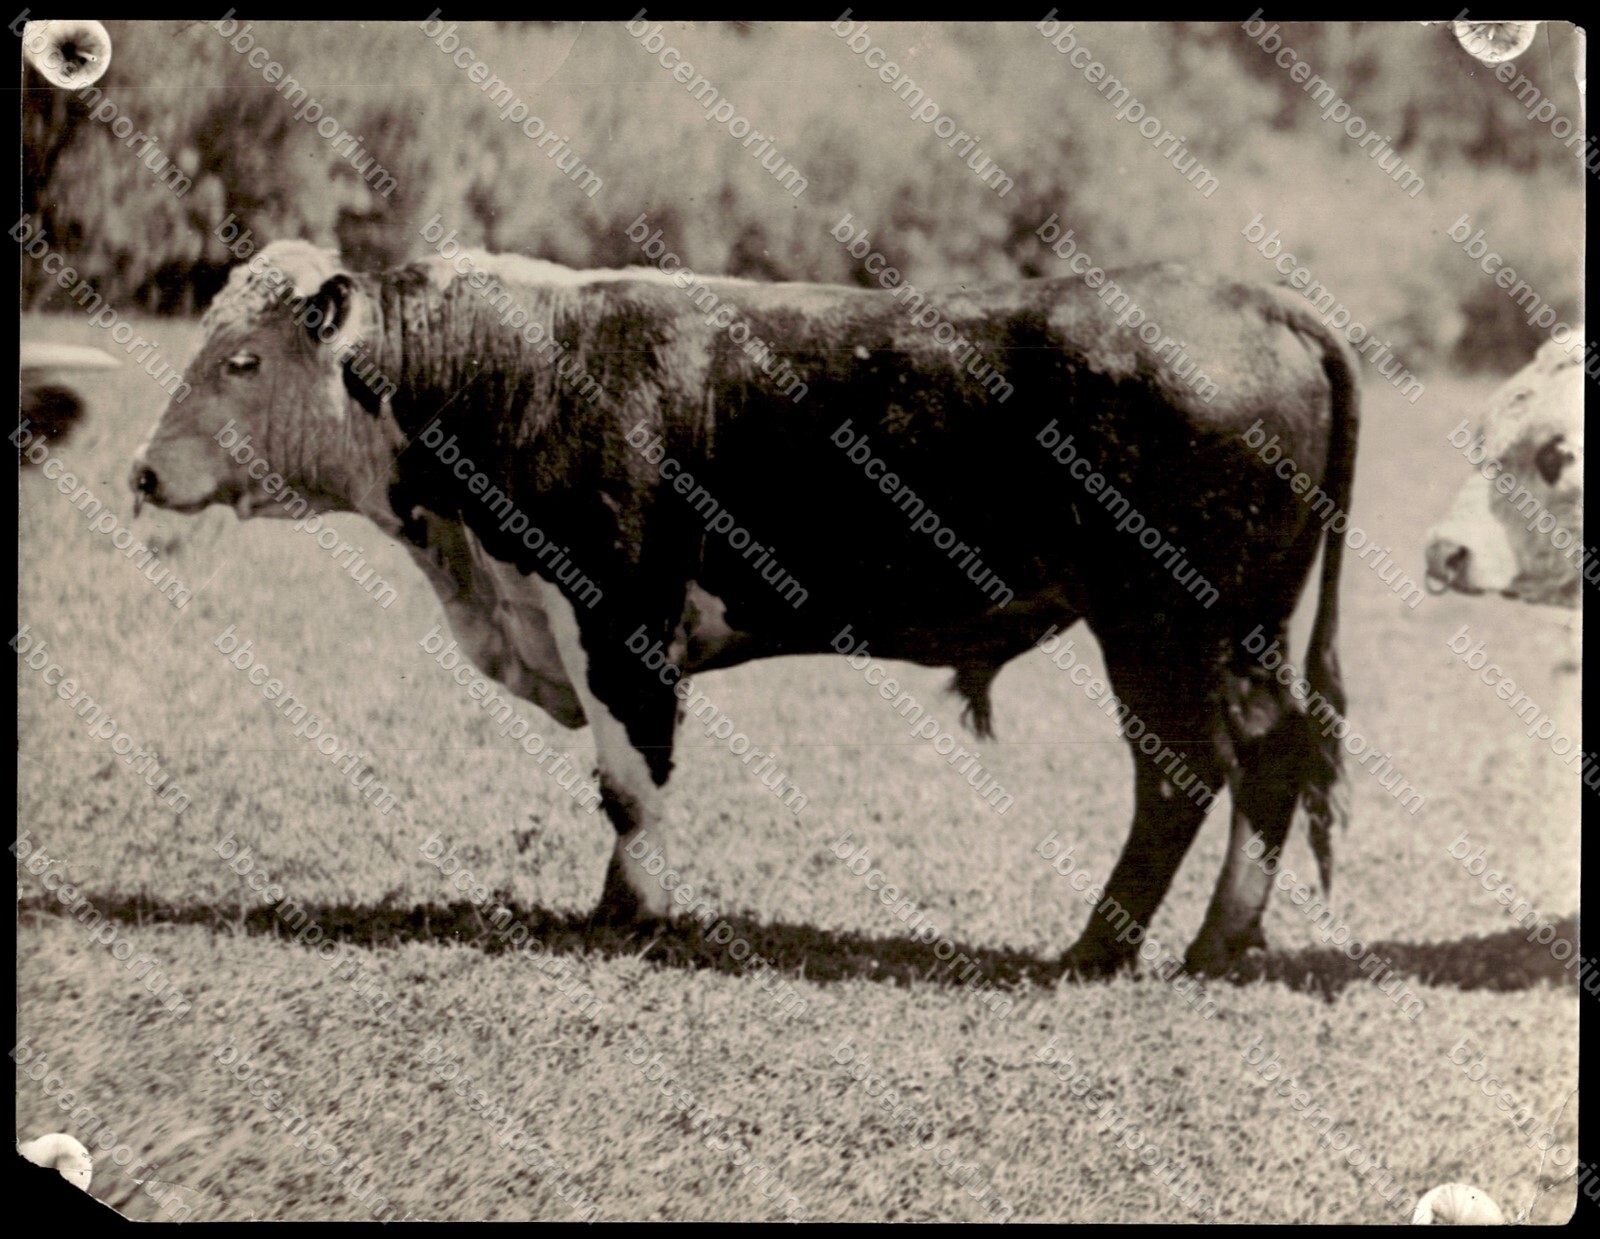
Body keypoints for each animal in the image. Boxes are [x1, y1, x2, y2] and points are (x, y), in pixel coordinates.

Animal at [130, 238, 1359, 977]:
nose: (142, 473)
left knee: (1182, 772)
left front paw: (630, 916)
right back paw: (1217, 942)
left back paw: (1099, 950)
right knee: (1270, 755)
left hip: (1157, 625)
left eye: (241, 362)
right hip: (1239, 630)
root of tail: (1253, 295)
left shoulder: (616, 614)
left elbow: (630, 786)